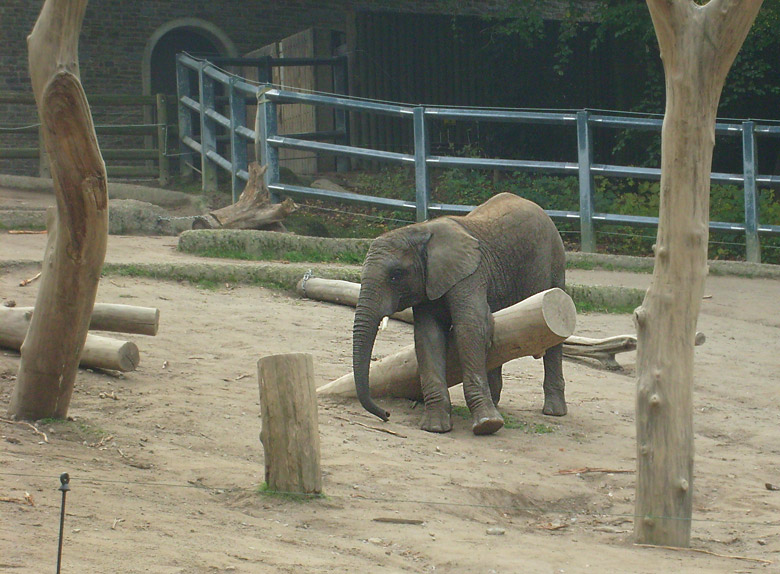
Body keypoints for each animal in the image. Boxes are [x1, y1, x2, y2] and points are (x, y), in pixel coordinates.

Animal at [354, 192, 568, 436]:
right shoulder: (429, 284)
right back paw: (496, 401)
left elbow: (470, 328)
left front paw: (487, 425)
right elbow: (428, 337)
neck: (420, 230)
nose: (387, 414)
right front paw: (435, 427)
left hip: (555, 263)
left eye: (396, 275)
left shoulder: (470, 274)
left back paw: (553, 411)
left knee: (554, 341)